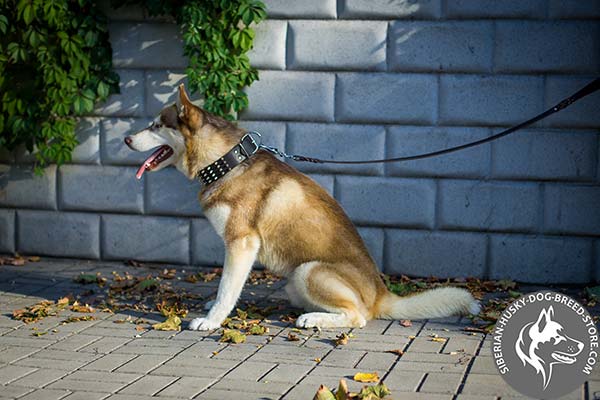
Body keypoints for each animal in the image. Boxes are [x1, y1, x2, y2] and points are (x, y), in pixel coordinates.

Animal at [124, 83, 480, 330]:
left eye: (157, 125)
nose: (126, 139)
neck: (226, 162)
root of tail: (382, 294)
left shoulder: (242, 243)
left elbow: (227, 288)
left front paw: (212, 320)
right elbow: (227, 287)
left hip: (309, 270)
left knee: (359, 317)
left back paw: (314, 320)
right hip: (295, 281)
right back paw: (312, 313)